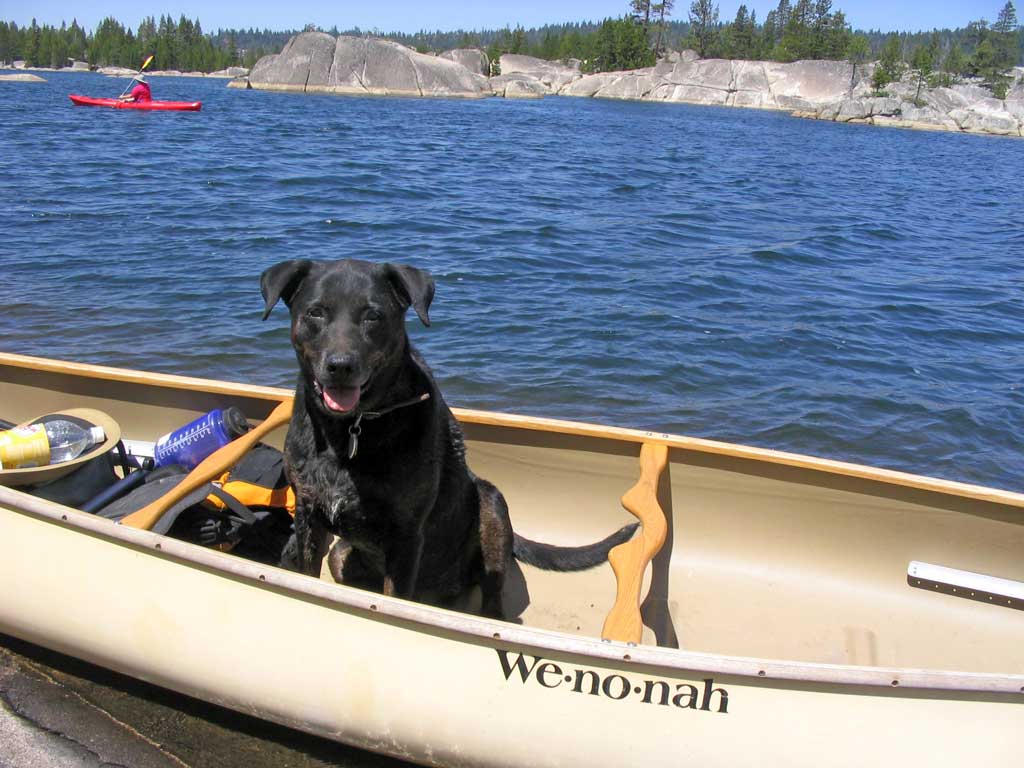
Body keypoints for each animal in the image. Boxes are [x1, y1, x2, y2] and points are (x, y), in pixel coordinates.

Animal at [260, 259, 634, 618]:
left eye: (373, 315)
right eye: (315, 312)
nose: (341, 366)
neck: (352, 429)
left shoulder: (406, 534)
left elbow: (394, 596)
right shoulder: (308, 512)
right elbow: (309, 571)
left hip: (491, 507)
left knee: (492, 594)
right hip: (342, 556)